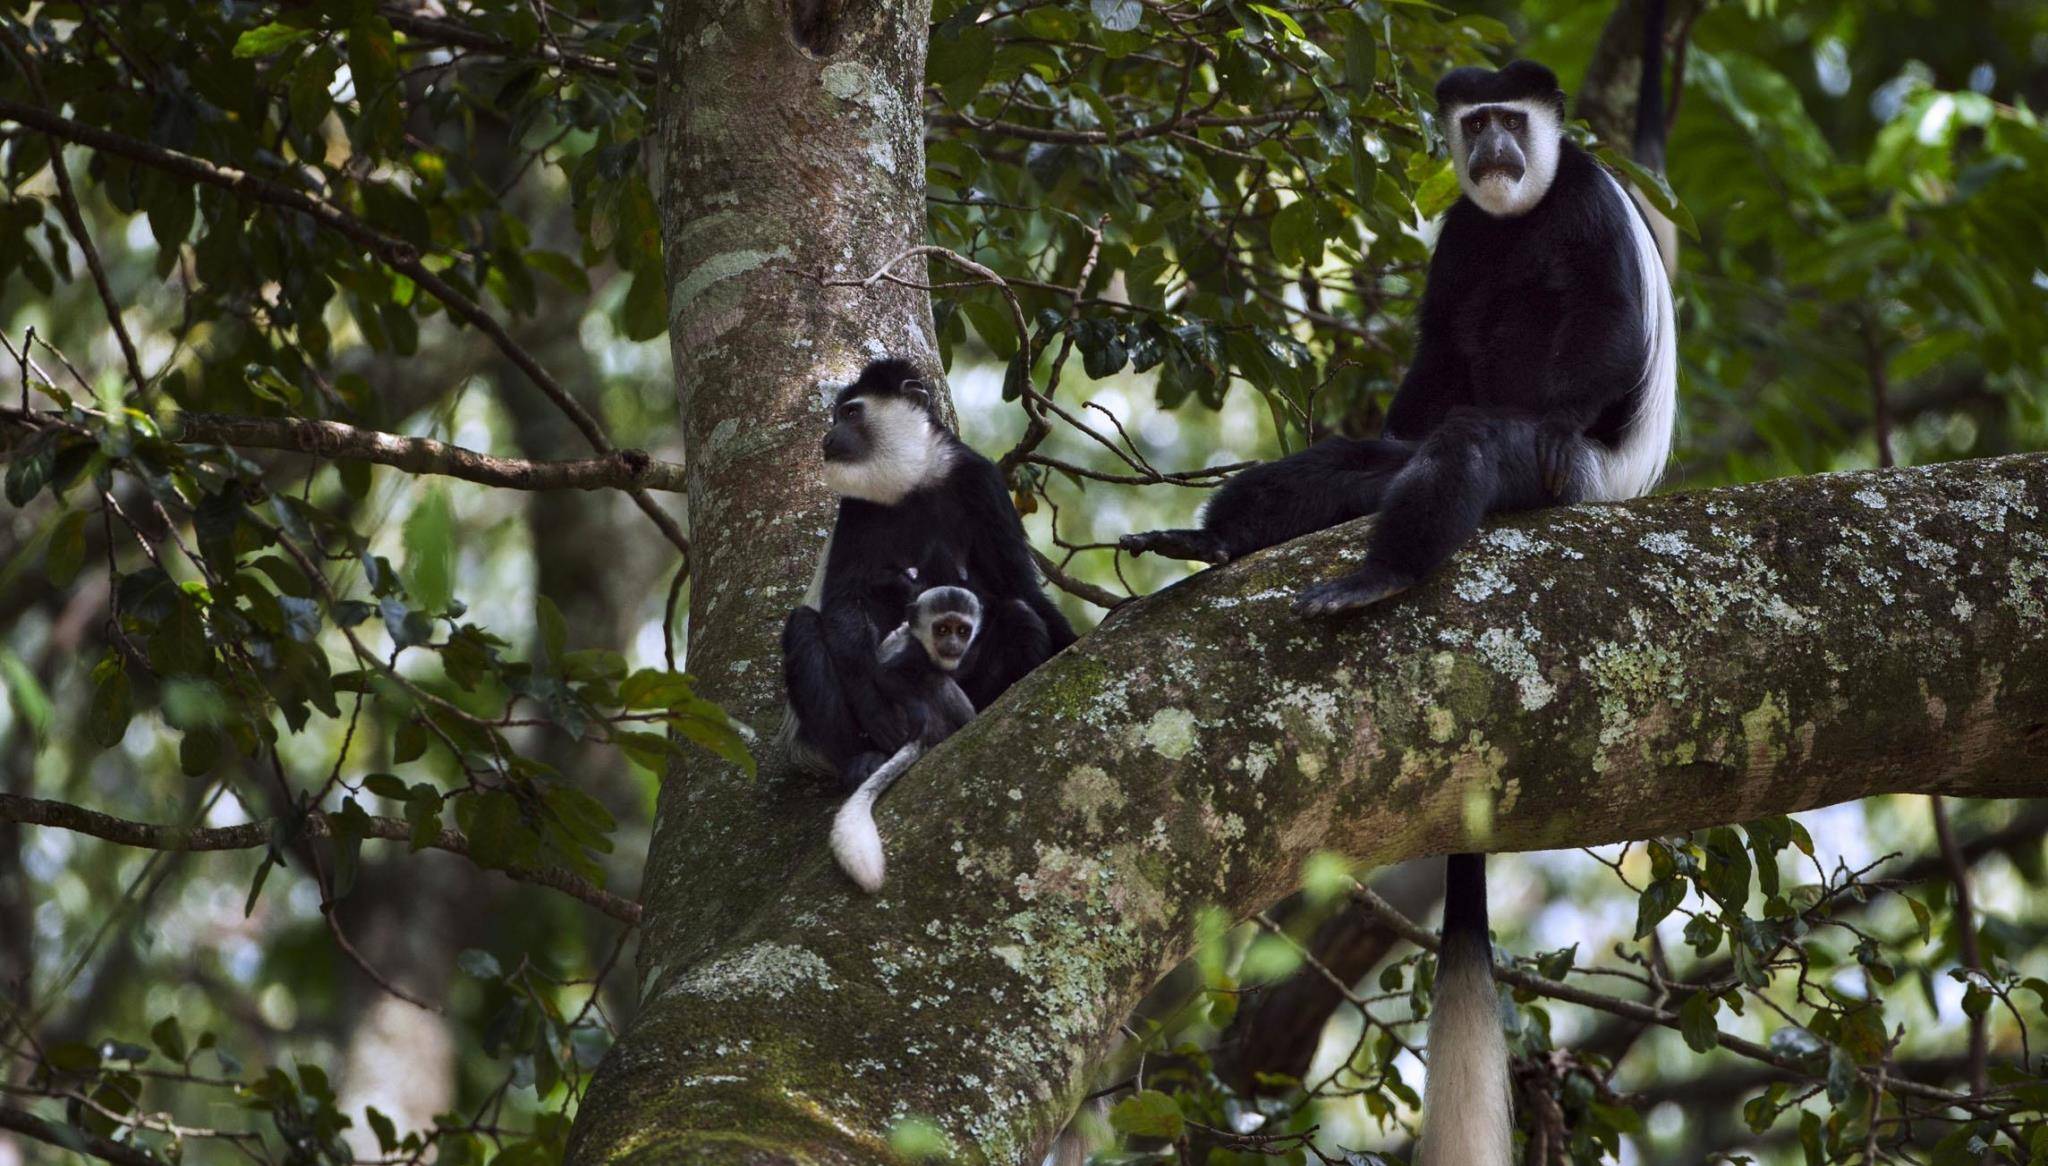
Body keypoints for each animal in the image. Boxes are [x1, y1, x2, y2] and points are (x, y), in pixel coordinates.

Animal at [835, 581, 987, 889]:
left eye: (962, 631)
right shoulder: (912, 653)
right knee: (937, 681)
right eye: (942, 629)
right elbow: (885, 675)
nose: (953, 646)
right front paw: (916, 710)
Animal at [1122, 11, 1679, 1163]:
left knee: (1467, 449)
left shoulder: (1583, 207)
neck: (1521, 205)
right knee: (1355, 464)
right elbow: (1438, 343)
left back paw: (1378, 574)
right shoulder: (1463, 232)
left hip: (1561, 475)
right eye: (1476, 126)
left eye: (1512, 120)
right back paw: (1219, 537)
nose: (1496, 151)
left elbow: (1601, 329)